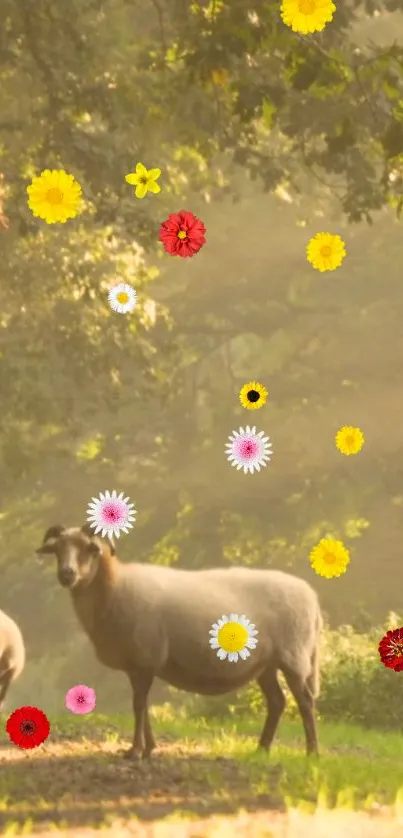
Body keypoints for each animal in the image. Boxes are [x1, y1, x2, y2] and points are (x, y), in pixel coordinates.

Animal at [36, 524, 324, 760]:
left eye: (90, 548)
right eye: (57, 549)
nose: (67, 574)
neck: (114, 585)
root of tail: (311, 597)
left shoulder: (145, 657)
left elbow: (138, 705)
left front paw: (135, 751)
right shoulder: (138, 664)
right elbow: (142, 705)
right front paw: (148, 748)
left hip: (294, 656)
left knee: (305, 701)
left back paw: (312, 752)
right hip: (266, 664)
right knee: (277, 702)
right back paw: (261, 749)